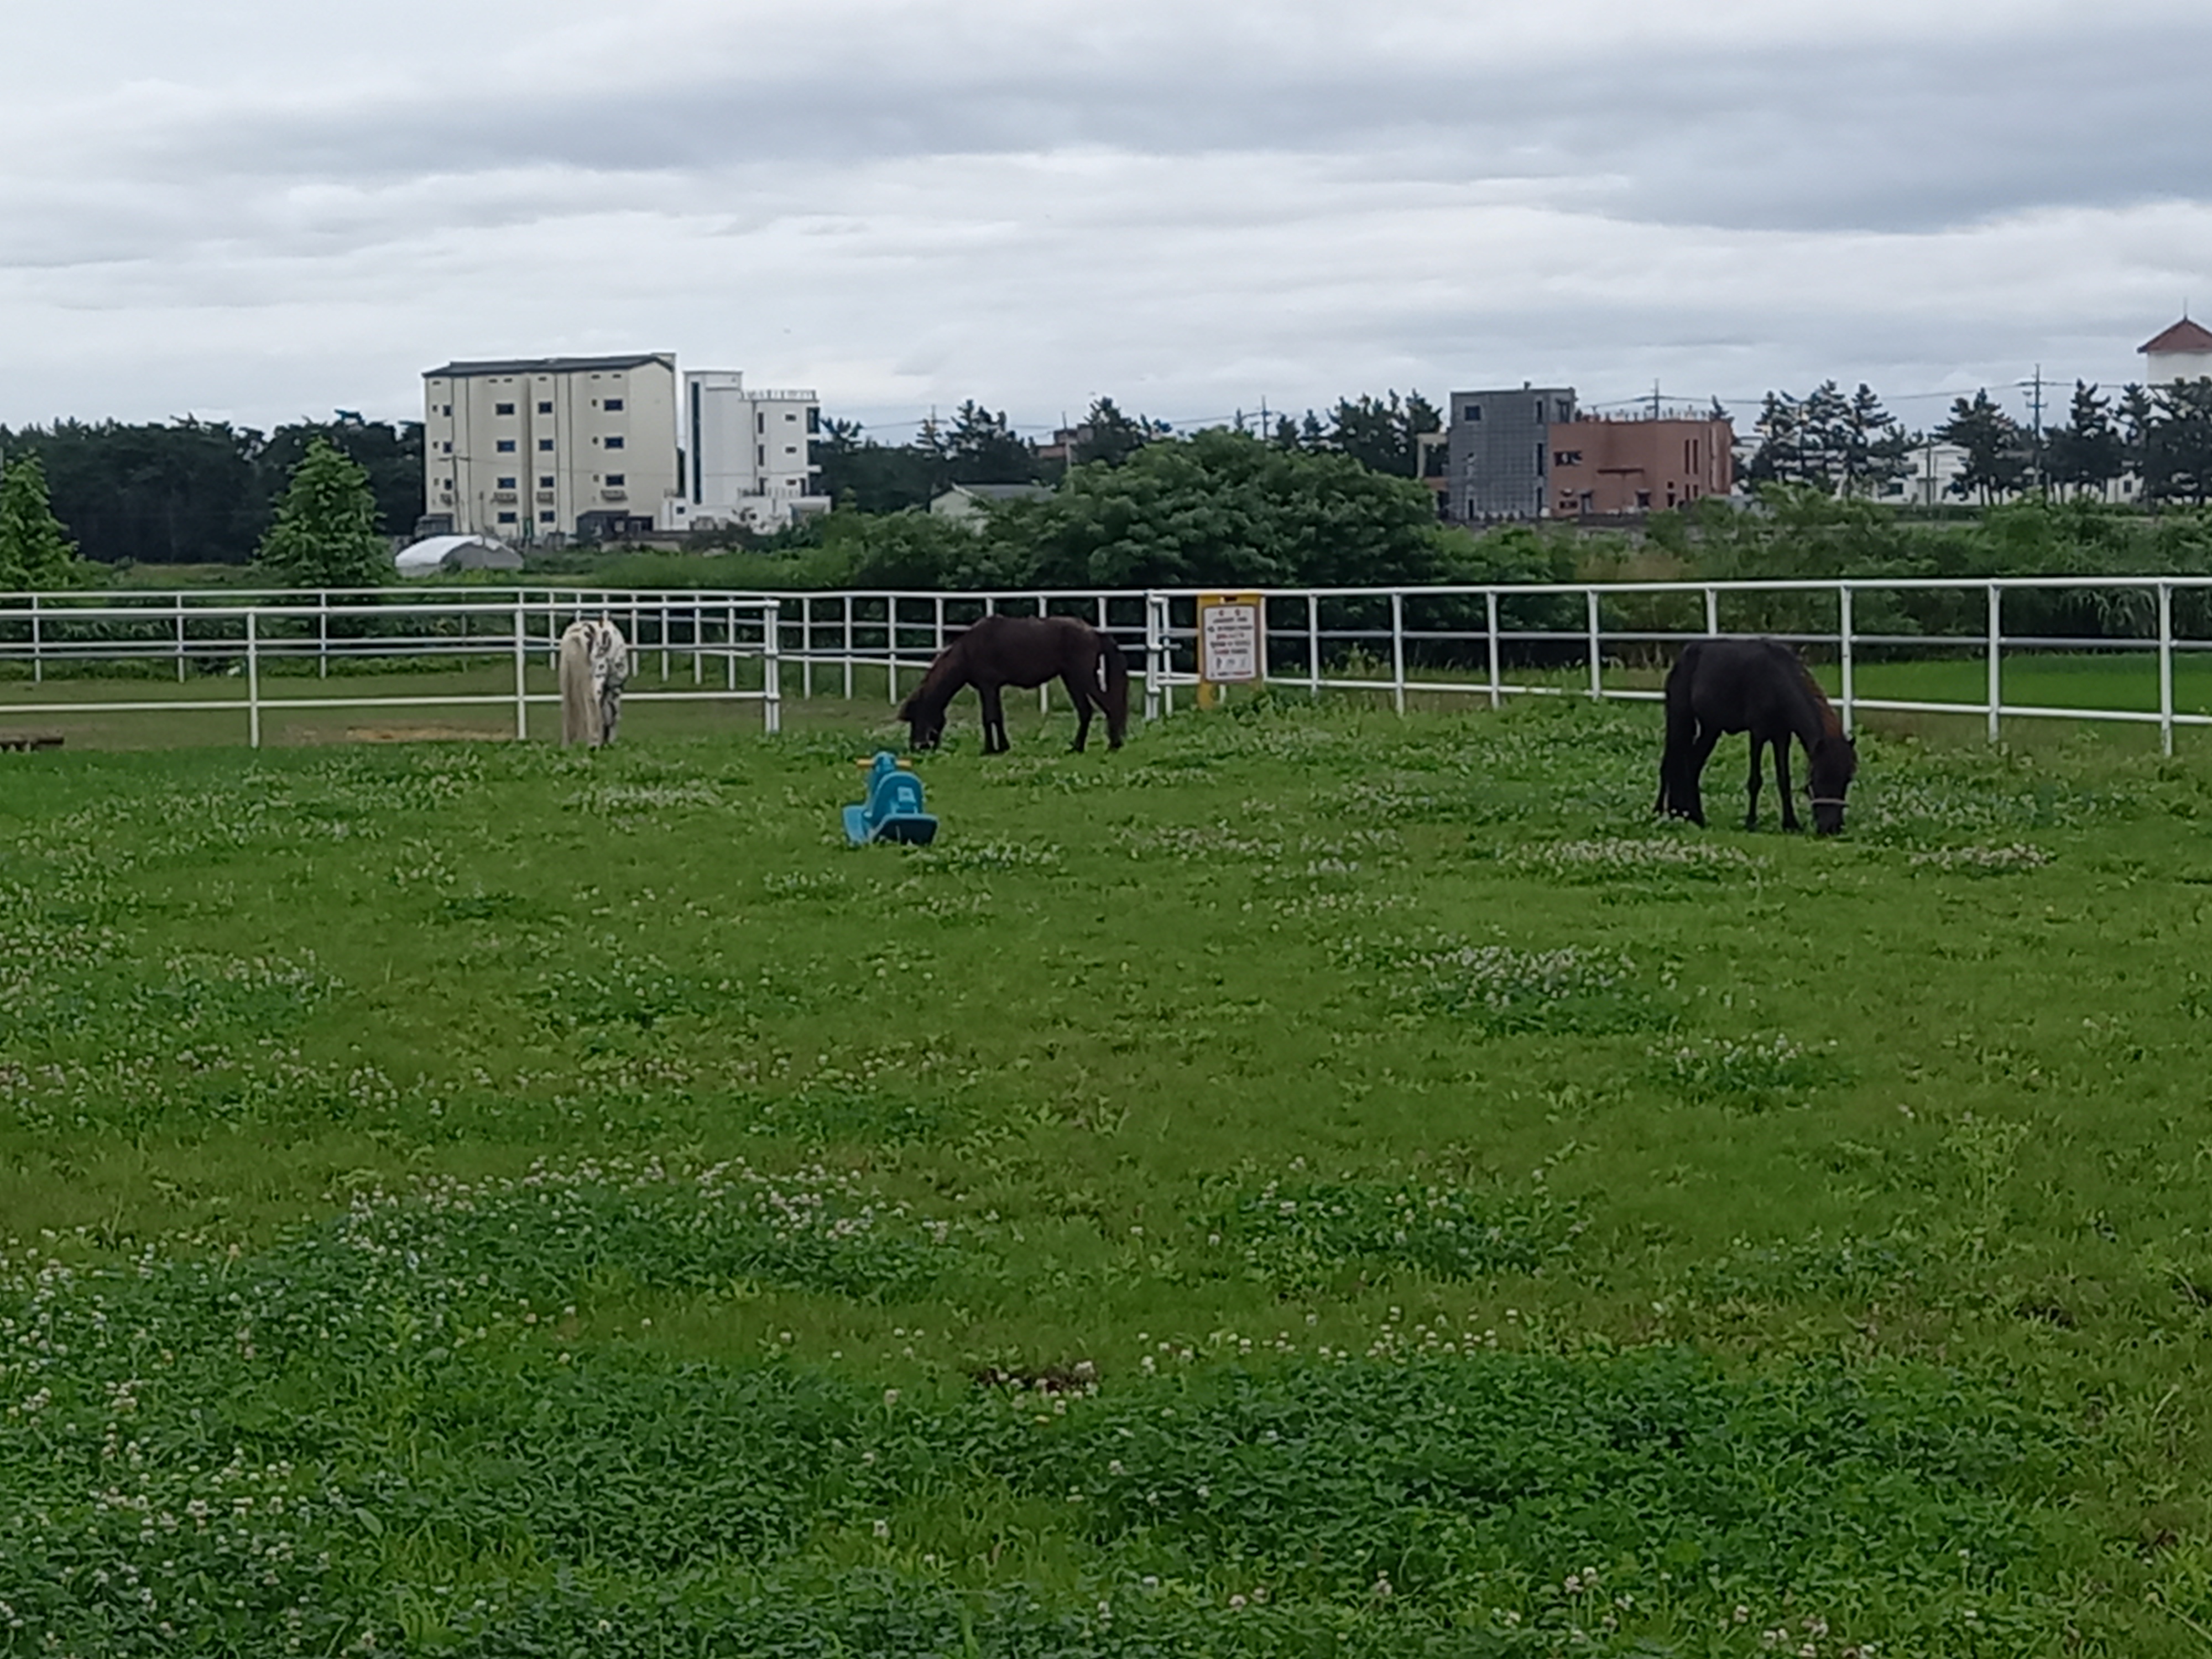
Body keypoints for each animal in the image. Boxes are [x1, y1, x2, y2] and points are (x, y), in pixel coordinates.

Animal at [894, 619, 1133, 757]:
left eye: (917, 718)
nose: (917, 747)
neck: (967, 651)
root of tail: (1094, 633)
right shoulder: (992, 688)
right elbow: (996, 717)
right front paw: (1001, 747)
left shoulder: (988, 686)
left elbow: (989, 717)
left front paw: (990, 750)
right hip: (1071, 680)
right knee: (1086, 711)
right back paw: (1077, 747)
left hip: (1082, 677)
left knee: (1108, 706)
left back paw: (1113, 745)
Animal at [1655, 641, 1858, 836]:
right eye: (1818, 779)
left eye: (1847, 780)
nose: (1831, 828)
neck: (1776, 681)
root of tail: (1681, 660)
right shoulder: (1758, 734)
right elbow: (1755, 780)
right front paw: (1751, 823)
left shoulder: (1782, 737)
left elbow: (1784, 780)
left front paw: (1791, 824)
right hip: (1679, 719)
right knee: (1670, 764)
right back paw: (1661, 813)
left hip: (1711, 729)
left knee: (1692, 765)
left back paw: (1694, 816)